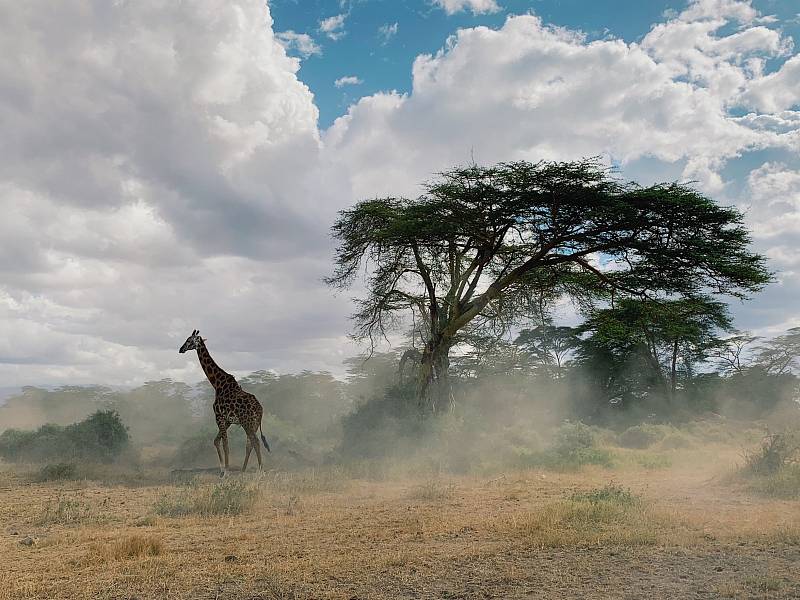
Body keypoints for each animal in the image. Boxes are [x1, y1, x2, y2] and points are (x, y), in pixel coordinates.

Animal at [179, 330, 272, 476]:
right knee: (250, 443)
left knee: (255, 442)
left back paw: (260, 471)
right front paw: (222, 470)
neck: (217, 384)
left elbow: (225, 445)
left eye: (189, 340)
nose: (181, 349)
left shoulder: (219, 417)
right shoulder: (227, 420)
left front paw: (226, 471)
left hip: (247, 422)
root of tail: (260, 409)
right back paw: (243, 471)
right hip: (254, 424)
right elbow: (216, 441)